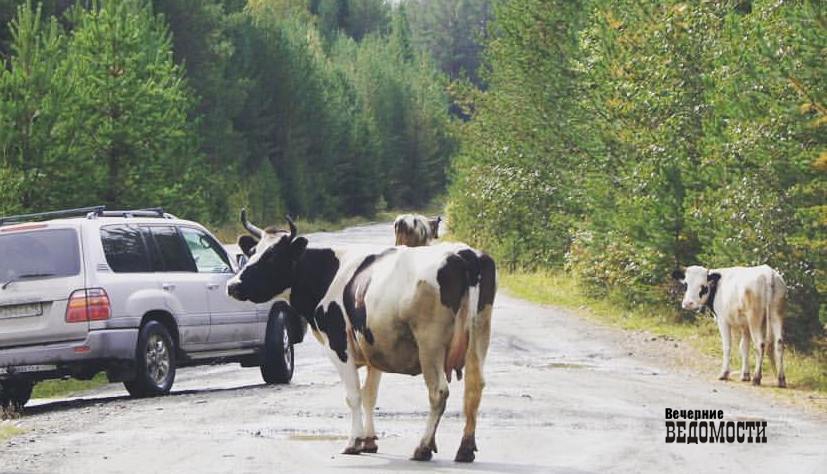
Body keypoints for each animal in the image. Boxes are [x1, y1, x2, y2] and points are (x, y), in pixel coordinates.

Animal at [226, 211, 498, 462]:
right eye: (252, 252)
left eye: (272, 256)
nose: (233, 285)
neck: (327, 273)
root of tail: (465, 255)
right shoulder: (374, 346)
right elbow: (369, 396)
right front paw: (369, 441)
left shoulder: (339, 344)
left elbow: (354, 395)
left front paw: (353, 442)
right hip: (479, 336)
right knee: (474, 388)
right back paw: (465, 449)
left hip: (430, 344)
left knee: (438, 392)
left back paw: (423, 447)